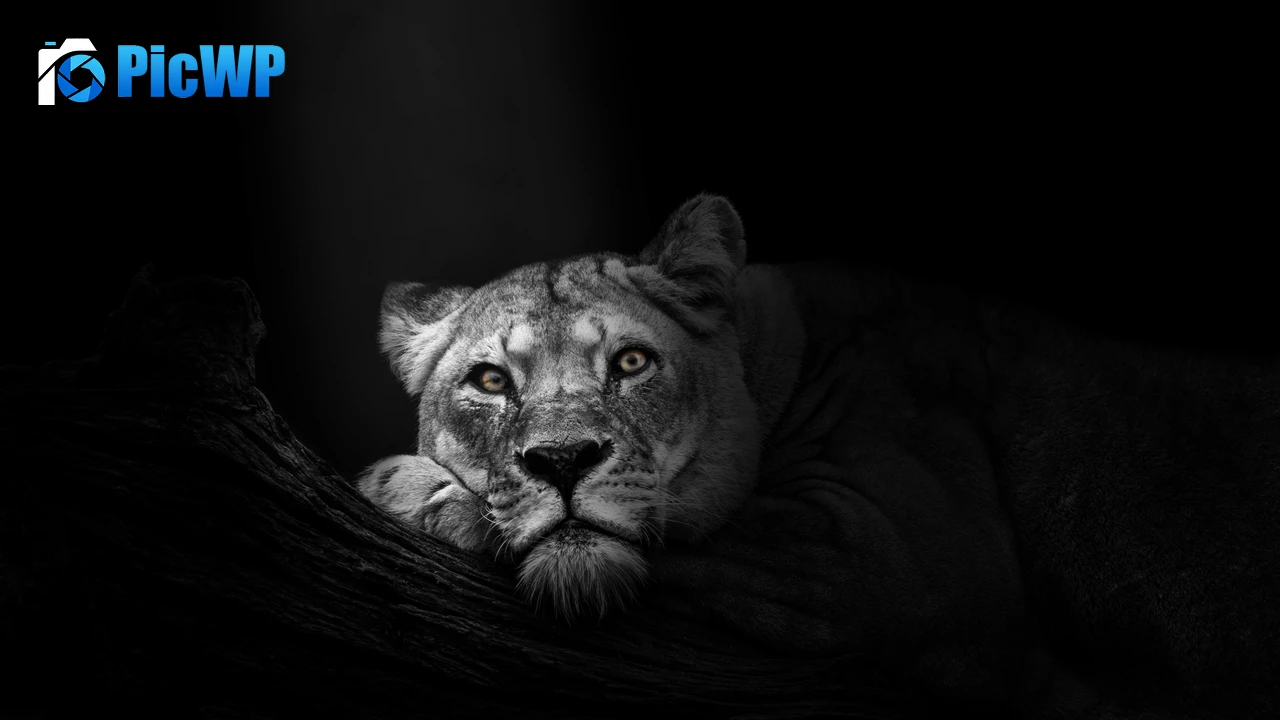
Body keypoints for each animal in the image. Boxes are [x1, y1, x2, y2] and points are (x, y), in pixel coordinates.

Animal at [358, 194, 1279, 718]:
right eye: (489, 380)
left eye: (631, 362)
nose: (562, 461)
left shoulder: (893, 553)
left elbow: (694, 534)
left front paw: (408, 487)